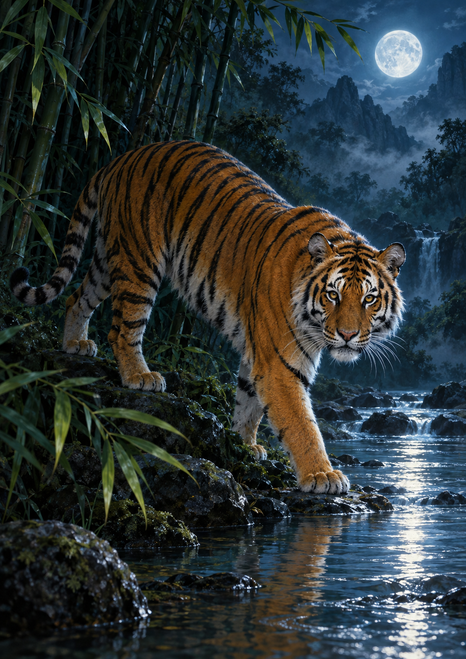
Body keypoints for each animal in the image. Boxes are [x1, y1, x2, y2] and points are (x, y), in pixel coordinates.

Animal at [10, 141, 405, 494]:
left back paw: (74, 344)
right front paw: (323, 475)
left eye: (369, 299)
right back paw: (140, 376)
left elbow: (248, 400)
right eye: (333, 295)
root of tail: (122, 157)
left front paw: (245, 445)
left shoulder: (258, 353)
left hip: (109, 260)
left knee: (76, 297)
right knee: (123, 328)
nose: (348, 335)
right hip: (139, 263)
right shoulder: (280, 362)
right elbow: (300, 423)